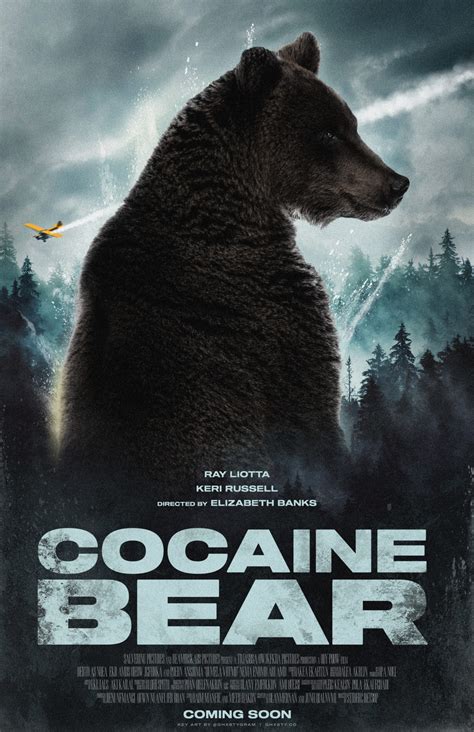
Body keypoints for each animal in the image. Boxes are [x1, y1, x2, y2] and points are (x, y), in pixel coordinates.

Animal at [59, 32, 409, 498]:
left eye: (353, 124)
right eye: (327, 132)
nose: (397, 183)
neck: (230, 216)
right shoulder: (280, 326)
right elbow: (313, 415)